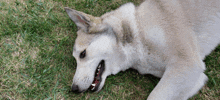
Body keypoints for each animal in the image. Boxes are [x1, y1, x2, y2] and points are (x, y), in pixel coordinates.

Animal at [64, 0, 219, 99]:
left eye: (83, 54)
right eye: (76, 59)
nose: (74, 89)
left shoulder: (187, 64)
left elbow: (154, 96)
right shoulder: (194, 77)